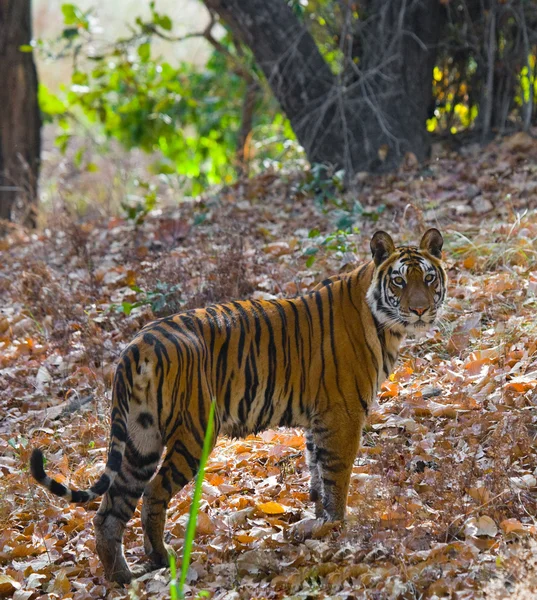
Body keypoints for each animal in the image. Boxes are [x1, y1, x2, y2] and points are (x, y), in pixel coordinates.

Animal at [29, 229, 444, 580]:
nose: (420, 310)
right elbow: (336, 475)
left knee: (110, 510)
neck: (382, 322)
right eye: (399, 281)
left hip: (139, 438)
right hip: (195, 434)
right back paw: (162, 560)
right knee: (153, 492)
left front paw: (317, 523)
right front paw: (337, 525)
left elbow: (316, 474)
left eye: (428, 279)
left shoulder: (318, 420)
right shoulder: (343, 414)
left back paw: (124, 577)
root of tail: (138, 343)